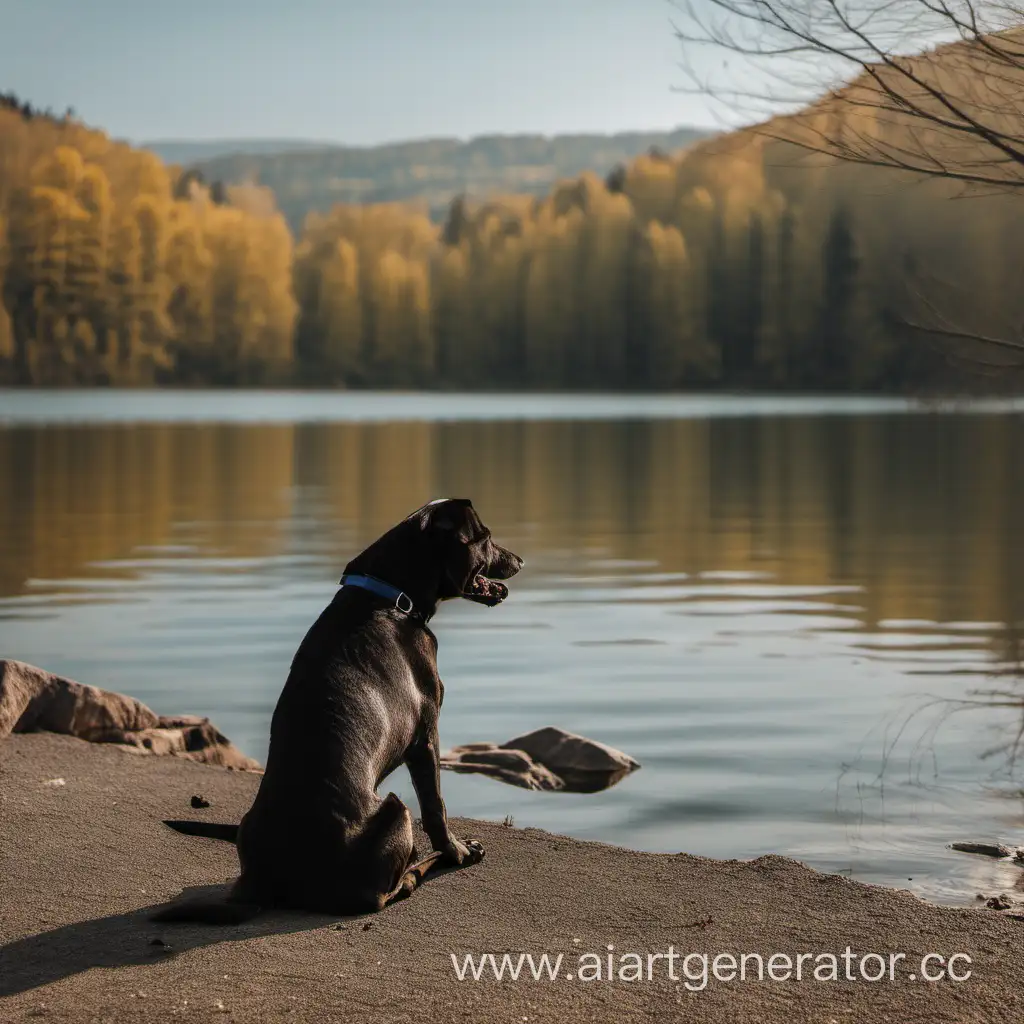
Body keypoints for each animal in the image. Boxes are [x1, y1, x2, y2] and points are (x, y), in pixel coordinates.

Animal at [155, 499, 524, 925]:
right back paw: (418, 870)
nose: (519, 560)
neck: (392, 598)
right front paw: (459, 852)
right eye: (487, 537)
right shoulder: (426, 735)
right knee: (385, 892)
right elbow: (436, 807)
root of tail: (267, 884)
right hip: (395, 808)